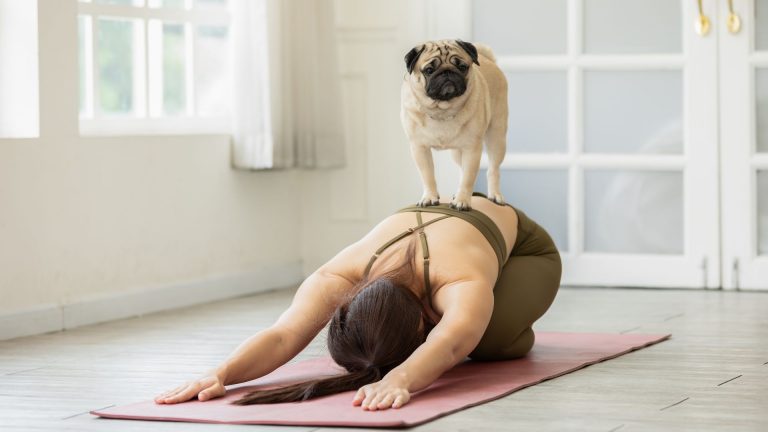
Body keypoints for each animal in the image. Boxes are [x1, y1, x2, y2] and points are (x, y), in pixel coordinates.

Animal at [400, 38, 508, 211]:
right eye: (429, 70)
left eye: (462, 67)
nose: (447, 72)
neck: (442, 110)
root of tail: (489, 60)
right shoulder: (419, 148)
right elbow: (428, 176)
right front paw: (429, 197)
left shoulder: (472, 149)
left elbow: (468, 178)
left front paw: (462, 200)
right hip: (457, 153)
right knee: (461, 168)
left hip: (497, 138)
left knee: (493, 169)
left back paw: (495, 195)